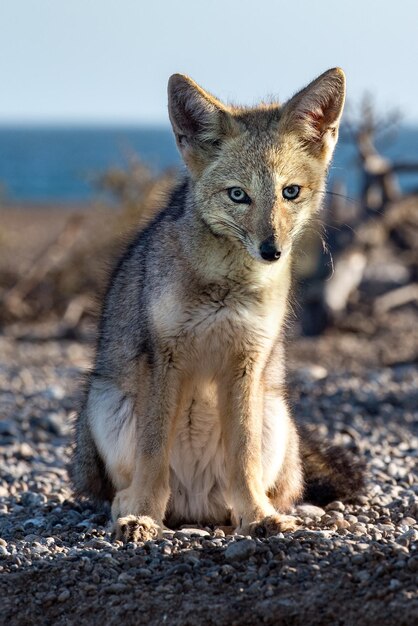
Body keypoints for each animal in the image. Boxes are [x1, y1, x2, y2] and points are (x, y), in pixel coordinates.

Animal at [71, 66, 362, 540]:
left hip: (274, 412)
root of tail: (195, 506)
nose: (271, 250)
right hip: (105, 402)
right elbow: (153, 452)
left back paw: (255, 512)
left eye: (290, 192)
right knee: (120, 489)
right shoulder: (164, 357)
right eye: (238, 195)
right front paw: (143, 515)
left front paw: (258, 515)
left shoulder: (246, 360)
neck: (225, 284)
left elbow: (243, 458)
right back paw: (131, 507)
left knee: (264, 486)